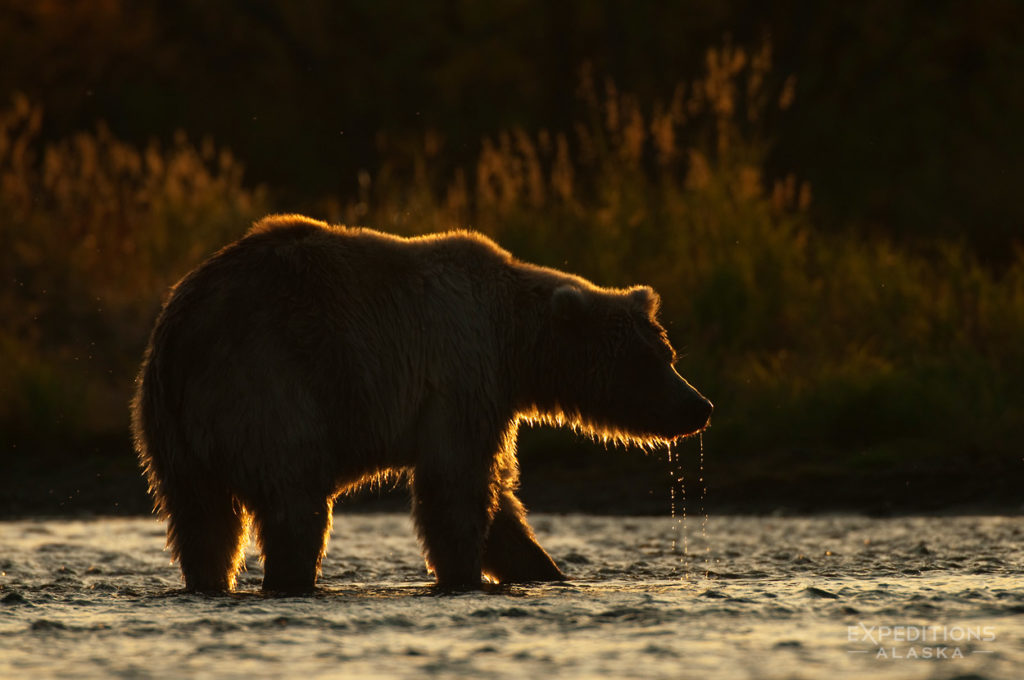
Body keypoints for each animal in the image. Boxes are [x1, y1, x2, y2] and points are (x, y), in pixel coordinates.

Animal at [132, 215, 712, 593]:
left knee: (202, 521)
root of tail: (179, 328)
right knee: (294, 504)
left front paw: (544, 570)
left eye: (668, 353)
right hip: (271, 390)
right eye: (653, 360)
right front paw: (466, 575)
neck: (516, 344)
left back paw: (207, 584)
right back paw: (291, 580)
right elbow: (456, 487)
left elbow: (499, 499)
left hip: (171, 431)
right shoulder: (463, 375)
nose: (699, 407)